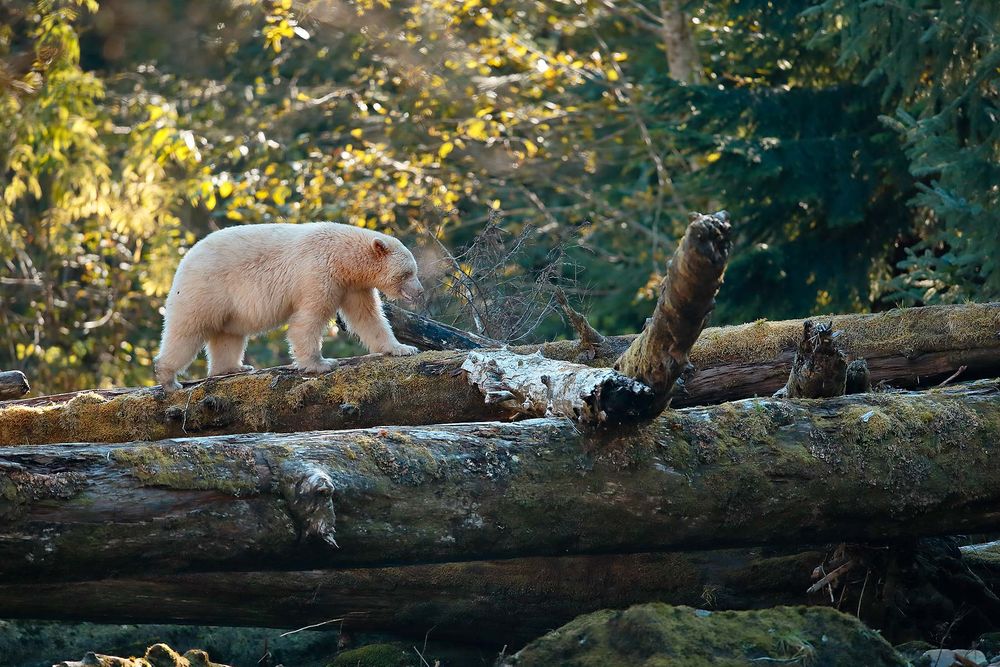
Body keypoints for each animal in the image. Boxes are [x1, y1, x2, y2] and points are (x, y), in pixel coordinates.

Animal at [153, 222, 423, 391]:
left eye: (414, 271)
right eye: (407, 273)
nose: (419, 291)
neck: (343, 256)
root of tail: (185, 259)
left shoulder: (353, 286)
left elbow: (367, 317)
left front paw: (403, 348)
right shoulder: (318, 273)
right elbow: (308, 319)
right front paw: (321, 364)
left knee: (229, 335)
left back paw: (233, 367)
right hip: (206, 288)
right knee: (188, 329)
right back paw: (168, 378)